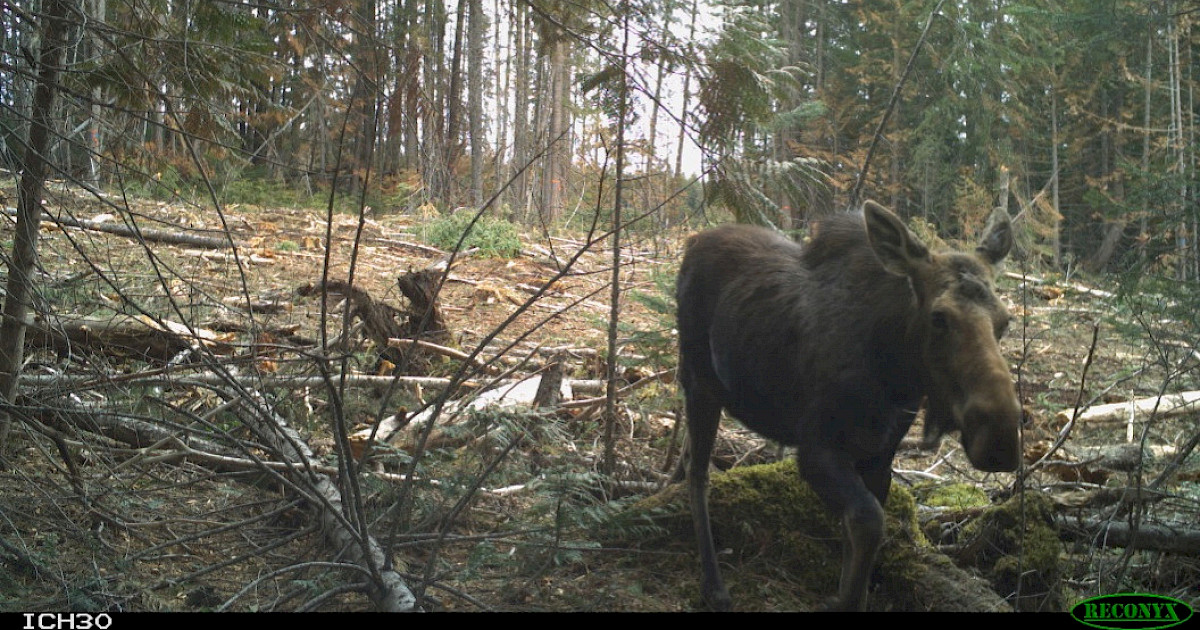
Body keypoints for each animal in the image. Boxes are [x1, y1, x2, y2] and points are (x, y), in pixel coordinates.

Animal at [676, 200, 1022, 609]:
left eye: (1005, 322)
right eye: (939, 317)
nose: (1000, 438)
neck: (894, 376)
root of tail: (693, 242)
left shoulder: (880, 456)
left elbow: (855, 532)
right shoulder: (816, 448)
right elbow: (869, 522)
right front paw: (845, 599)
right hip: (699, 381)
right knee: (699, 473)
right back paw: (714, 586)